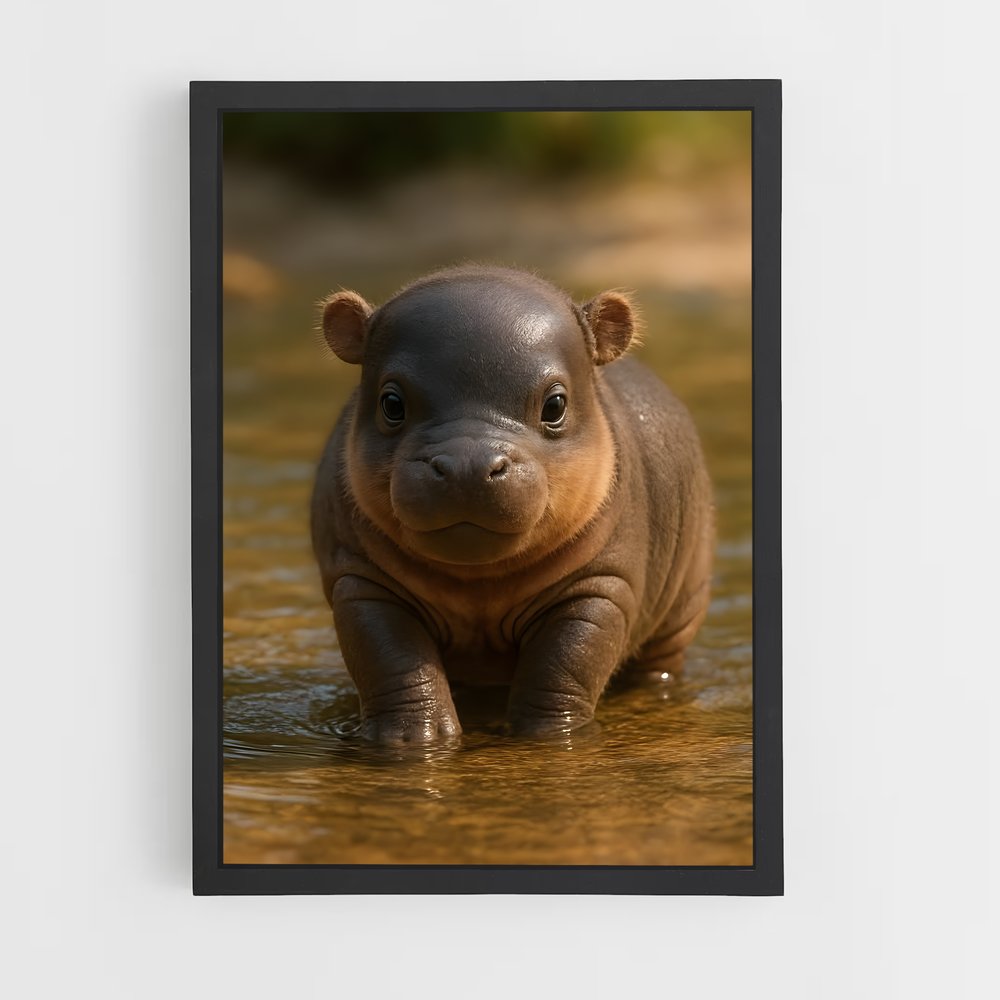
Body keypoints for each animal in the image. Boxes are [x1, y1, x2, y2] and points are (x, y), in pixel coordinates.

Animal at [310, 265, 714, 744]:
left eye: (555, 404)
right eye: (392, 403)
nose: (467, 465)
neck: (480, 581)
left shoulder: (600, 585)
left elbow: (565, 666)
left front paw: (550, 738)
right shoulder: (361, 582)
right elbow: (393, 665)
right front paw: (413, 741)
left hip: (683, 606)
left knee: (658, 662)